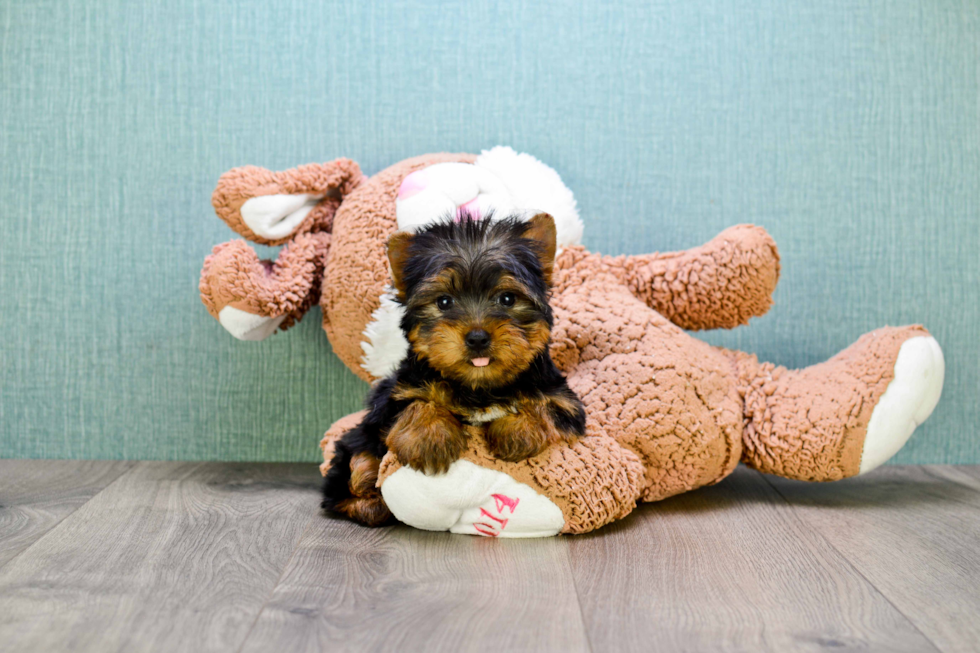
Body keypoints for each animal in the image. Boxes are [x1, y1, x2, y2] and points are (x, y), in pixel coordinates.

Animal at [322, 214, 584, 524]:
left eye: (507, 298)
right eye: (444, 301)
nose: (477, 338)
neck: (479, 386)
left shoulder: (563, 399)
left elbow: (544, 406)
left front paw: (518, 431)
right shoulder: (393, 395)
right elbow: (415, 403)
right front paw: (429, 437)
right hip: (356, 445)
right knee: (352, 472)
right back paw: (370, 495)